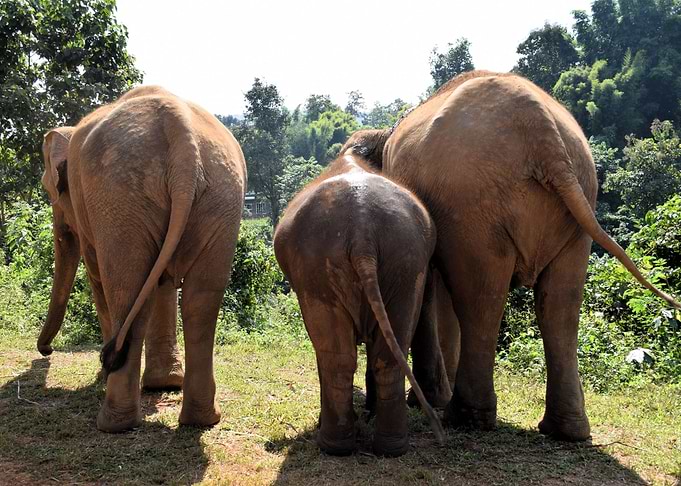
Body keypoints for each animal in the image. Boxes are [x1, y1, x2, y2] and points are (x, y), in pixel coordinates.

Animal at [38, 85, 246, 432]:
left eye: (49, 190)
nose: (46, 350)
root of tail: (182, 133)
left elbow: (98, 277)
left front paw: (107, 375)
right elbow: (162, 282)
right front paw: (165, 384)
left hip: (119, 197)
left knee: (124, 289)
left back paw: (112, 422)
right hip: (222, 195)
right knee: (201, 299)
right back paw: (201, 419)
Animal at [273, 151, 447, 456]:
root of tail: (362, 232)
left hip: (329, 268)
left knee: (338, 356)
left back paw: (334, 445)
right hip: (403, 264)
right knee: (379, 355)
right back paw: (385, 447)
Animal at [341, 70, 680, 442]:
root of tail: (542, 133)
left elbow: (432, 290)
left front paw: (428, 401)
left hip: (471, 205)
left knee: (481, 298)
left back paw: (466, 417)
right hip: (570, 205)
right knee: (558, 305)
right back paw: (565, 431)